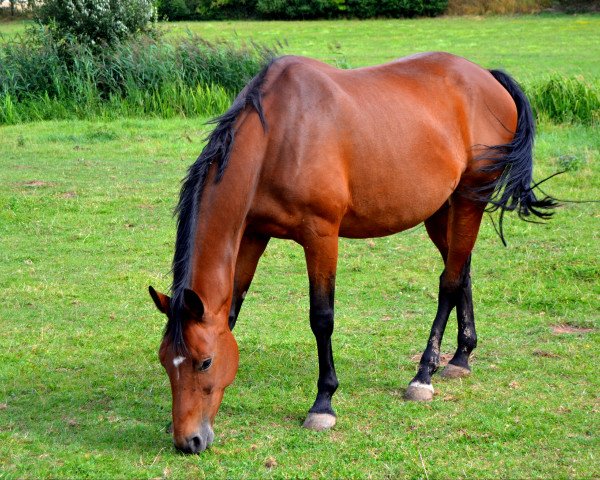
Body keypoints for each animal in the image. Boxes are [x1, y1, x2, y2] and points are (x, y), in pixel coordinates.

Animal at [148, 52, 556, 454]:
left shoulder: (322, 235)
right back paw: (461, 357)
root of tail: (486, 76)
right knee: (461, 271)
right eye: (166, 361)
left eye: (205, 362)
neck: (278, 136)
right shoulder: (252, 234)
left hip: (471, 198)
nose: (189, 441)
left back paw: (424, 375)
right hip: (443, 209)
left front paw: (323, 404)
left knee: (450, 282)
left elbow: (322, 318)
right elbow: (231, 312)